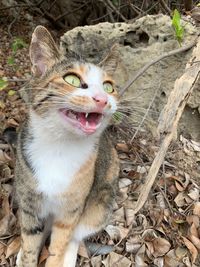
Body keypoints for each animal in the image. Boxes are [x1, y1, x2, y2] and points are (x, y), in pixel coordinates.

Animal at [15, 25, 120, 267]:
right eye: (71, 79)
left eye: (108, 87)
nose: (102, 99)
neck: (59, 145)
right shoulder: (29, 201)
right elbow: (30, 240)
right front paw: (26, 254)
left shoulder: (71, 209)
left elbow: (60, 243)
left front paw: (58, 257)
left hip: (100, 204)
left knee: (76, 235)